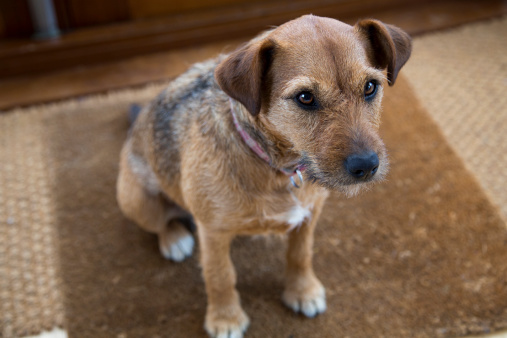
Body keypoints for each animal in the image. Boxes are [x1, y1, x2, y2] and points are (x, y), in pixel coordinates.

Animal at [117, 14, 410, 336]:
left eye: (370, 86)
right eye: (305, 97)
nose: (367, 166)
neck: (276, 166)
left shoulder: (310, 214)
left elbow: (300, 254)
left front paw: (302, 291)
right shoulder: (212, 233)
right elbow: (220, 276)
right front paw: (225, 318)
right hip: (137, 201)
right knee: (160, 223)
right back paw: (174, 238)